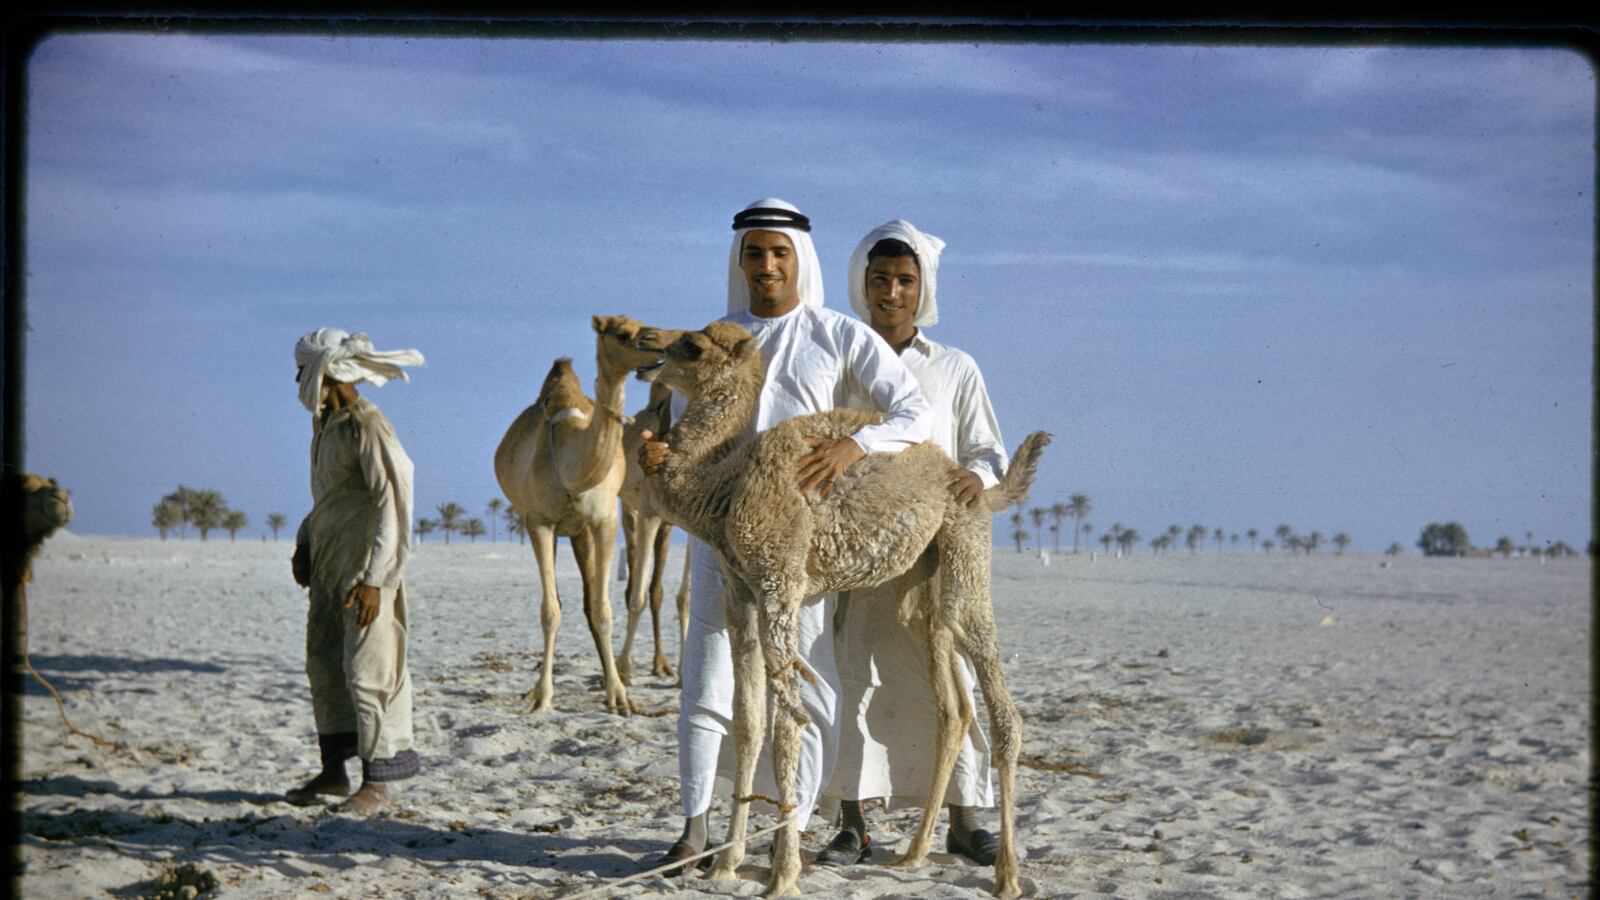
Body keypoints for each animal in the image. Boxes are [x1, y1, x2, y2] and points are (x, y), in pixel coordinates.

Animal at [493, 315, 666, 715]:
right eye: (622, 333)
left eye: (643, 325)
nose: (658, 345)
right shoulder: (538, 522)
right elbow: (550, 611)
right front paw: (542, 696)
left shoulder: (604, 521)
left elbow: (602, 609)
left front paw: (619, 696)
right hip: (556, 528)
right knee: (561, 601)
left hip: (580, 531)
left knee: (590, 602)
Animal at [636, 320, 1049, 899]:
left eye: (692, 346)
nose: (646, 338)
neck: (724, 487)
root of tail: (971, 483)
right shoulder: (741, 595)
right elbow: (748, 724)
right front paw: (725, 865)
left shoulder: (779, 587)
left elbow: (789, 723)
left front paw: (782, 873)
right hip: (919, 592)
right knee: (951, 707)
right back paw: (914, 854)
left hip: (965, 559)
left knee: (1001, 708)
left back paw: (1007, 873)